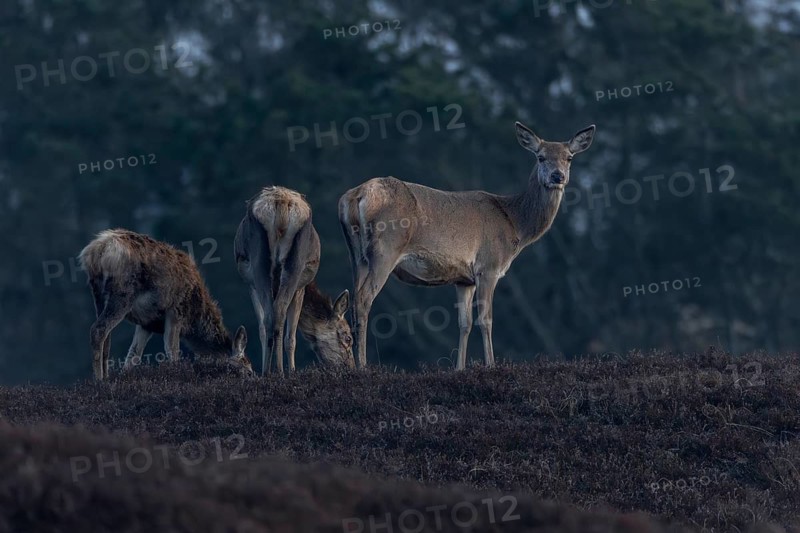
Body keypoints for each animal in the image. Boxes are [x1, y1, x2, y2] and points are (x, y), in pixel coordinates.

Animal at [78, 229, 254, 380]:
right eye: (249, 370)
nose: (255, 378)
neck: (195, 317)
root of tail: (96, 249)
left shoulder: (147, 324)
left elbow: (133, 355)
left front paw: (123, 377)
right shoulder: (176, 311)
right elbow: (172, 351)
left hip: (97, 293)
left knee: (106, 337)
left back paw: (106, 377)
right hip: (122, 294)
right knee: (98, 330)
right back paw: (99, 380)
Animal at [235, 186, 354, 375]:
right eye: (348, 337)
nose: (352, 368)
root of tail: (281, 205)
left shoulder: (251, 284)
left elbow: (265, 329)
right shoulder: (299, 287)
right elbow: (285, 333)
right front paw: (287, 370)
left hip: (263, 261)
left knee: (274, 315)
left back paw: (274, 372)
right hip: (291, 262)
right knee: (277, 314)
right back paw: (278, 371)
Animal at [338, 121, 596, 370]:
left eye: (569, 157)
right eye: (540, 157)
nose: (557, 176)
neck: (515, 225)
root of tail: (355, 196)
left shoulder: (464, 279)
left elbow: (464, 323)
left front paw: (459, 368)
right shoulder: (488, 266)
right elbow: (486, 319)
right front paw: (490, 365)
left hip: (356, 255)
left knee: (353, 297)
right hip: (386, 249)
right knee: (364, 299)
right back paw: (363, 366)